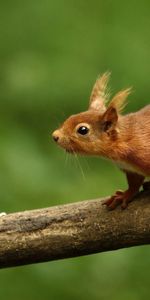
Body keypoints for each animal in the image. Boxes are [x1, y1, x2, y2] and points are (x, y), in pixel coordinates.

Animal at [51, 72, 150, 209]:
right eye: (71, 117)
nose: (55, 136)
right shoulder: (131, 170)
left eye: (83, 130)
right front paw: (124, 195)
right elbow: (134, 184)